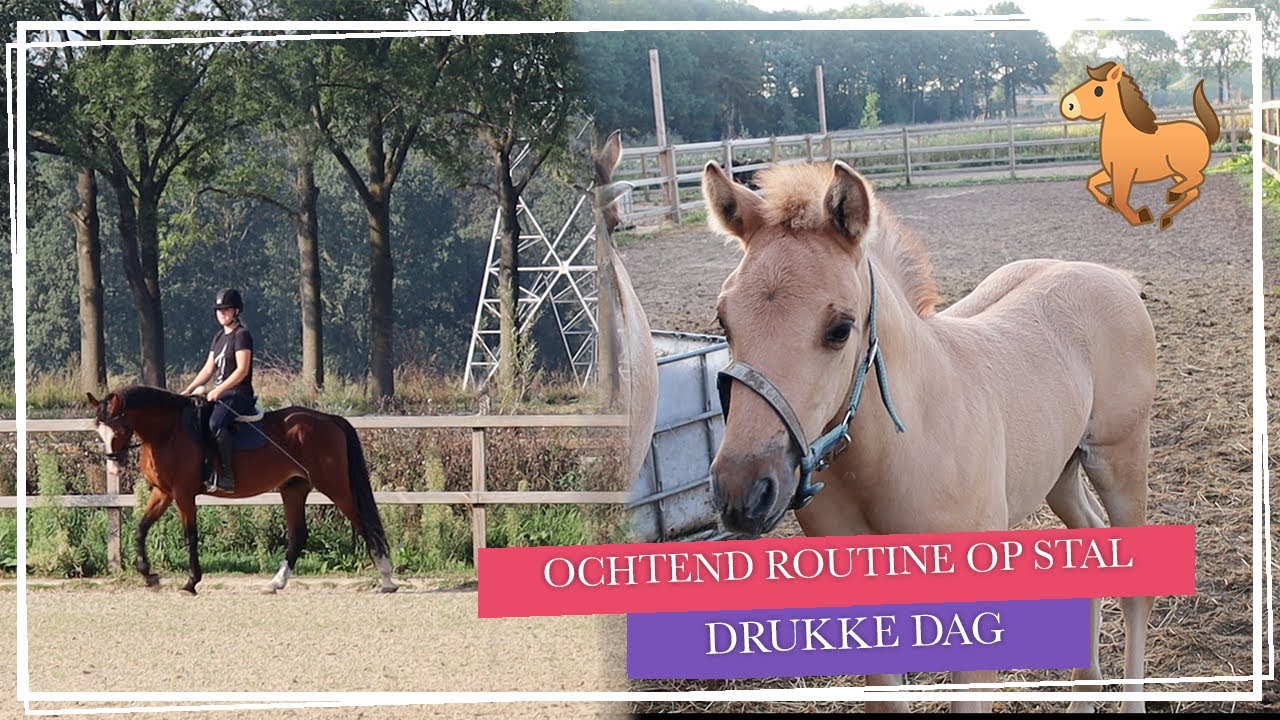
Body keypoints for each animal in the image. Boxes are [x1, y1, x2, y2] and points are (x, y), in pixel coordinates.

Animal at [86, 385, 398, 596]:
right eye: (99, 430)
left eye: (119, 428)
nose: (114, 469)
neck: (168, 431)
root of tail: (330, 419)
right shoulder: (163, 492)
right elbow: (141, 529)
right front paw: (149, 576)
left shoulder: (183, 494)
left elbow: (190, 536)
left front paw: (191, 582)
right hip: (294, 489)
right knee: (298, 535)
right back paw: (275, 583)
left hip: (336, 487)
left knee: (364, 524)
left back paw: (386, 579)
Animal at [701, 159, 1157, 713]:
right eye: (724, 319)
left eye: (840, 328)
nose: (743, 492)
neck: (908, 445)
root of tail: (1113, 276)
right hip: (1060, 468)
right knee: (1088, 537)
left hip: (1121, 453)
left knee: (1134, 583)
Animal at [1060, 61, 1220, 231]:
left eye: (1098, 90)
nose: (1068, 105)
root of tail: (1205, 134)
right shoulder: (1112, 171)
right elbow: (1092, 183)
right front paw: (1109, 202)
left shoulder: (1124, 173)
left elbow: (1120, 199)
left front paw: (1141, 217)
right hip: (1176, 172)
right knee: (1193, 191)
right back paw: (1166, 217)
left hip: (1183, 168)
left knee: (1197, 179)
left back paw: (1172, 195)